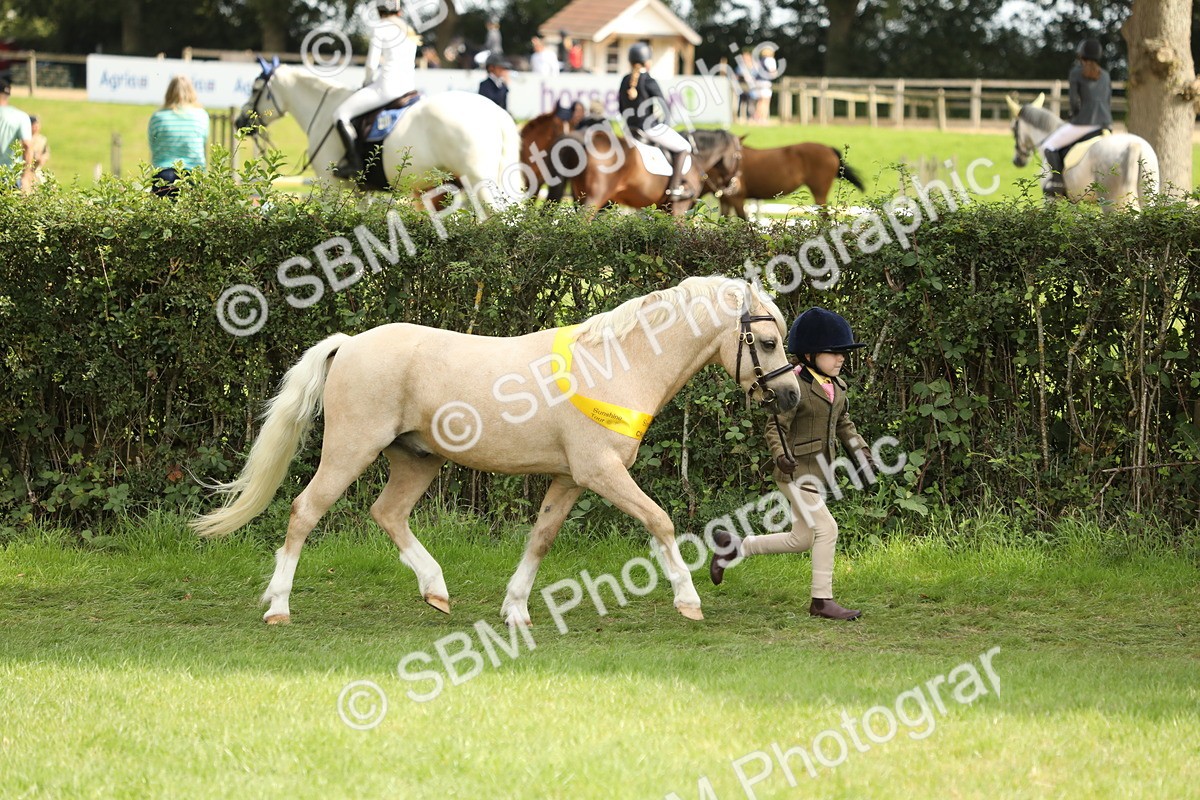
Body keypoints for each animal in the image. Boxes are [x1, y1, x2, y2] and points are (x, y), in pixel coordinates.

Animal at [191, 276, 801, 627]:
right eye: (769, 342)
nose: (792, 396)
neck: (617, 366)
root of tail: (350, 344)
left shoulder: (569, 479)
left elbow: (542, 537)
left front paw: (515, 609)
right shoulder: (600, 472)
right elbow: (661, 521)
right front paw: (688, 599)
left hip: (417, 459)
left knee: (387, 513)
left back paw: (436, 591)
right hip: (349, 451)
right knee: (304, 512)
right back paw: (279, 606)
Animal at [235, 59, 521, 207]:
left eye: (255, 88)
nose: (239, 121)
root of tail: (496, 112)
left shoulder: (329, 186)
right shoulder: (363, 191)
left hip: (478, 180)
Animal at [1007, 93, 1160, 211]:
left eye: (1013, 129)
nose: (1017, 161)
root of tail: (1134, 145)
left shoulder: (1050, 199)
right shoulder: (1075, 202)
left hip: (1113, 201)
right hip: (1147, 194)